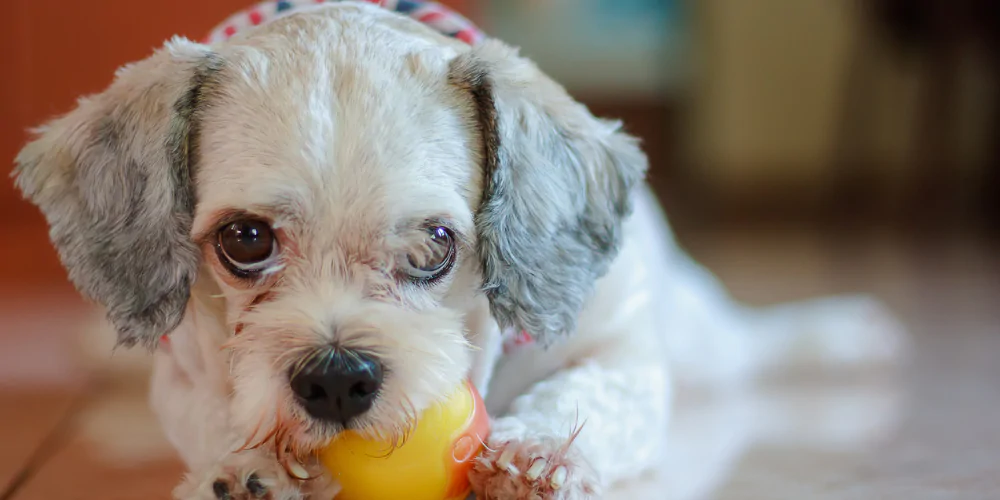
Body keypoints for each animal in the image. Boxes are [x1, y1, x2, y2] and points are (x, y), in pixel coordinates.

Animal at [15, 1, 908, 498]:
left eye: (437, 245)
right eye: (245, 240)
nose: (336, 377)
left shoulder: (622, 354)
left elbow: (588, 396)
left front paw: (536, 457)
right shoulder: (185, 379)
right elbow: (214, 417)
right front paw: (255, 469)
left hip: (700, 335)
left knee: (752, 344)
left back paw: (842, 335)